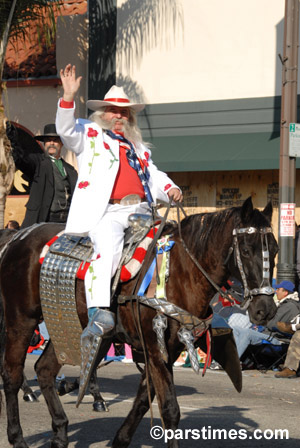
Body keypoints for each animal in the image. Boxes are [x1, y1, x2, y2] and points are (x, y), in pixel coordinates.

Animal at [0, 200, 278, 448]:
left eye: (274, 250)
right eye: (245, 250)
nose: (265, 310)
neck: (181, 273)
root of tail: (18, 237)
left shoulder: (165, 351)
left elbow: (144, 400)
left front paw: (120, 439)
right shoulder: (155, 349)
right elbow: (170, 409)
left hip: (68, 328)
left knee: (44, 369)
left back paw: (60, 432)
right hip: (21, 320)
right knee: (12, 374)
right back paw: (18, 437)